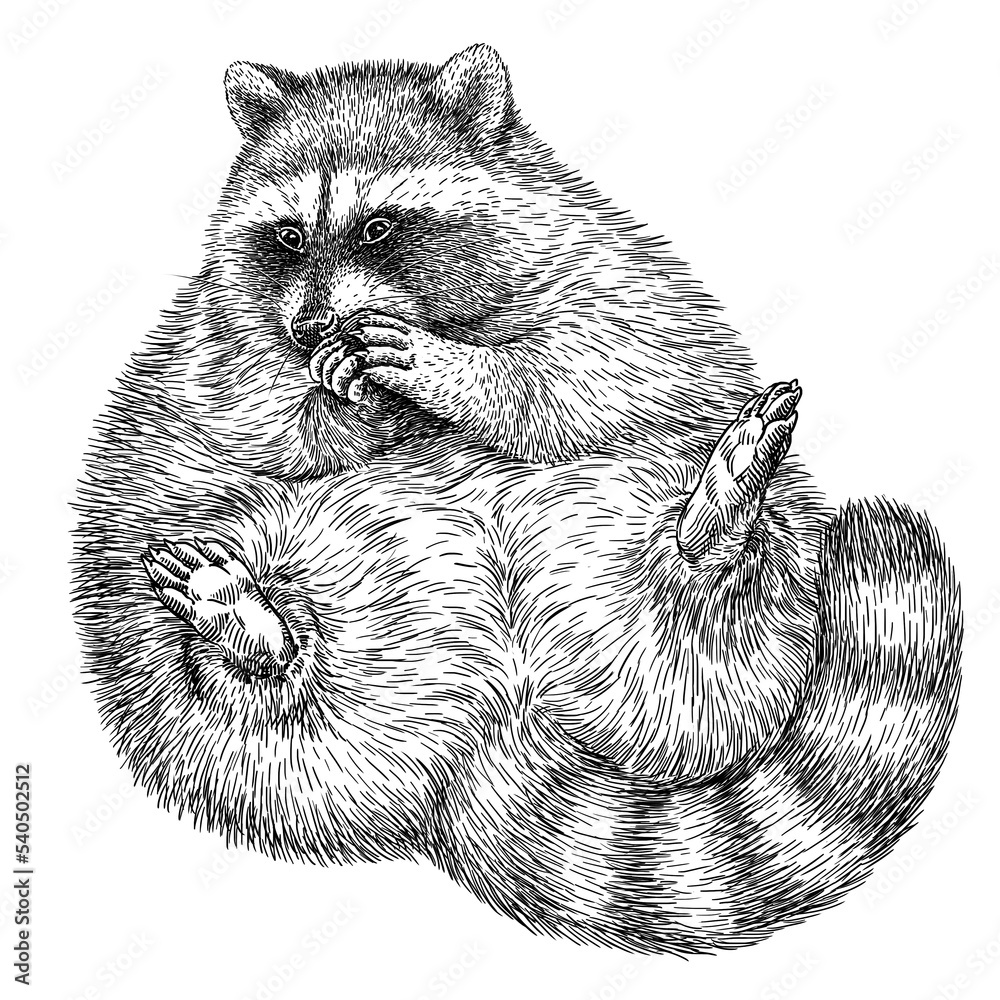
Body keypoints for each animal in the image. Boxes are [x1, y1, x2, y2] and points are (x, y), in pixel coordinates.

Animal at [71, 45, 961, 954]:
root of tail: (491, 719)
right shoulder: (219, 351)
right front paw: (340, 404)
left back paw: (710, 534)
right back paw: (253, 633)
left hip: (682, 589)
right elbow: (257, 420)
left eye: (378, 227)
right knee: (252, 687)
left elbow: (585, 373)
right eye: (288, 236)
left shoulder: (605, 272)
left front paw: (447, 372)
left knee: (701, 614)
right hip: (210, 691)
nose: (314, 328)